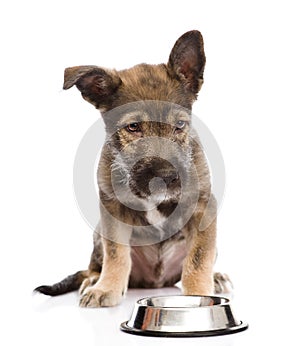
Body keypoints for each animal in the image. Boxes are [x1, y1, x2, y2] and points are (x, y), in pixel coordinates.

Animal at [35, 29, 232, 306]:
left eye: (180, 125)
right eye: (133, 127)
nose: (167, 177)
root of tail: (155, 282)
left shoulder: (202, 207)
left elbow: (198, 258)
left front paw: (199, 294)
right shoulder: (112, 208)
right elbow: (116, 254)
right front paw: (106, 288)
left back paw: (215, 277)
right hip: (98, 234)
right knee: (95, 265)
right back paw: (93, 280)